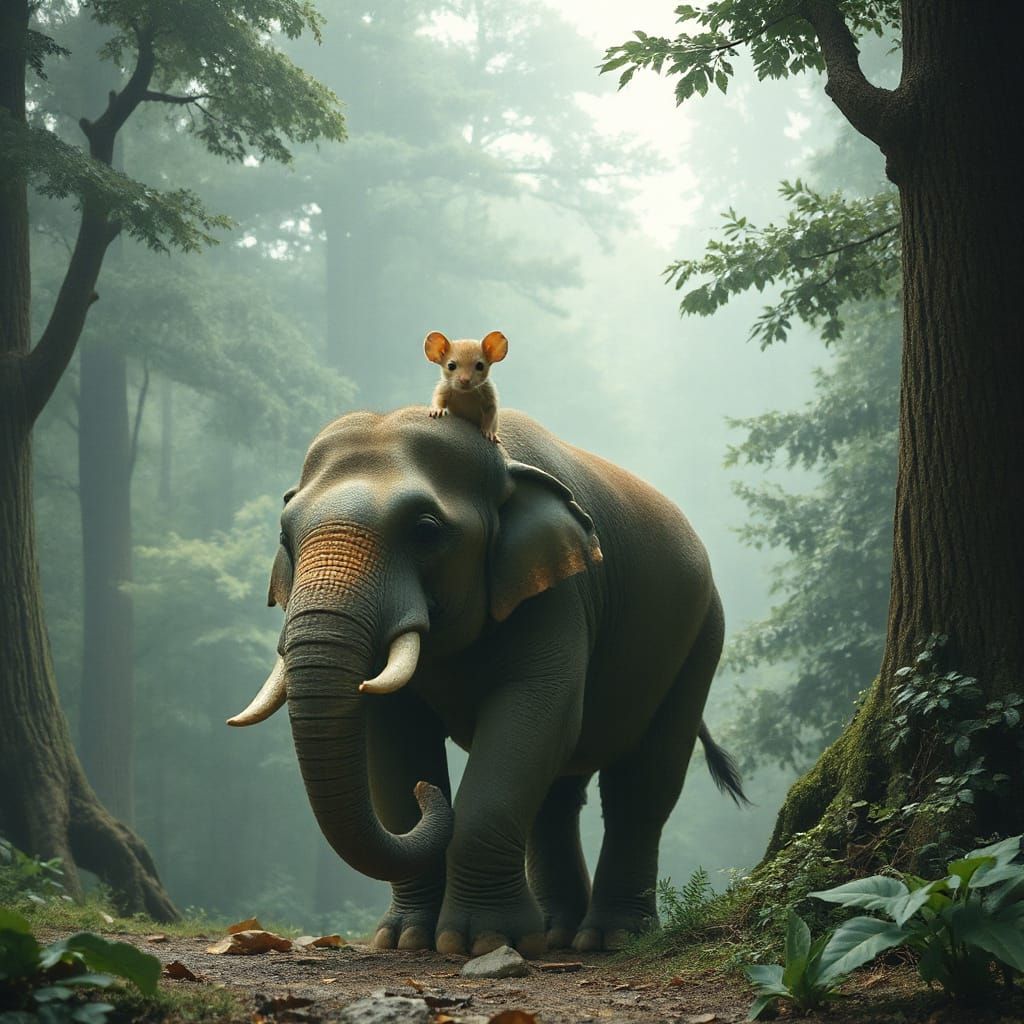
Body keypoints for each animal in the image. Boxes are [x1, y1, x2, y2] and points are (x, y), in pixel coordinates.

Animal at [228, 406, 746, 957]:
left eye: (426, 530)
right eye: (284, 537)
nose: (427, 794)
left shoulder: (560, 591)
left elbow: (538, 711)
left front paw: (481, 940)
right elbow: (394, 737)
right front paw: (405, 939)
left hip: (702, 638)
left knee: (642, 783)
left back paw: (611, 937)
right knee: (558, 794)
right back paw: (556, 932)